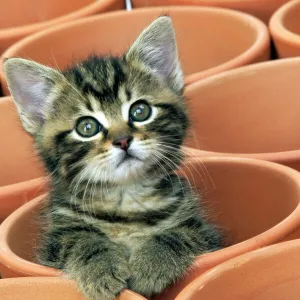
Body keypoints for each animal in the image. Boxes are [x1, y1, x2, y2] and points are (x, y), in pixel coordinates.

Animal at [3, 17, 221, 300]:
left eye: (140, 111)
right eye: (87, 127)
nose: (123, 140)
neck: (125, 200)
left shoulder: (205, 233)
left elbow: (178, 233)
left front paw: (151, 264)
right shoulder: (55, 244)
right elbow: (81, 240)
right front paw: (100, 268)